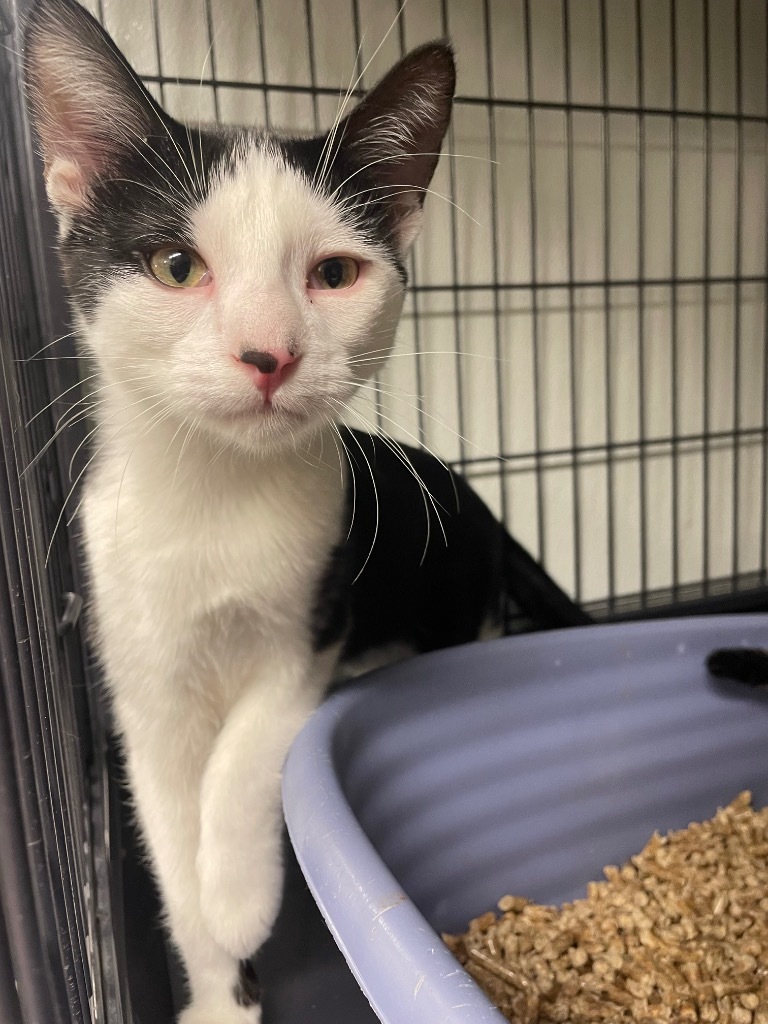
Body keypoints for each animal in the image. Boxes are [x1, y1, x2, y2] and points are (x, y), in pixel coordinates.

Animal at [22, 4, 589, 1019]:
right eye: (176, 265)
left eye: (333, 273)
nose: (269, 353)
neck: (213, 500)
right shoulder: (142, 679)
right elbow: (168, 834)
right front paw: (217, 984)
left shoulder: (313, 624)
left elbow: (246, 747)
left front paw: (237, 892)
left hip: (459, 607)